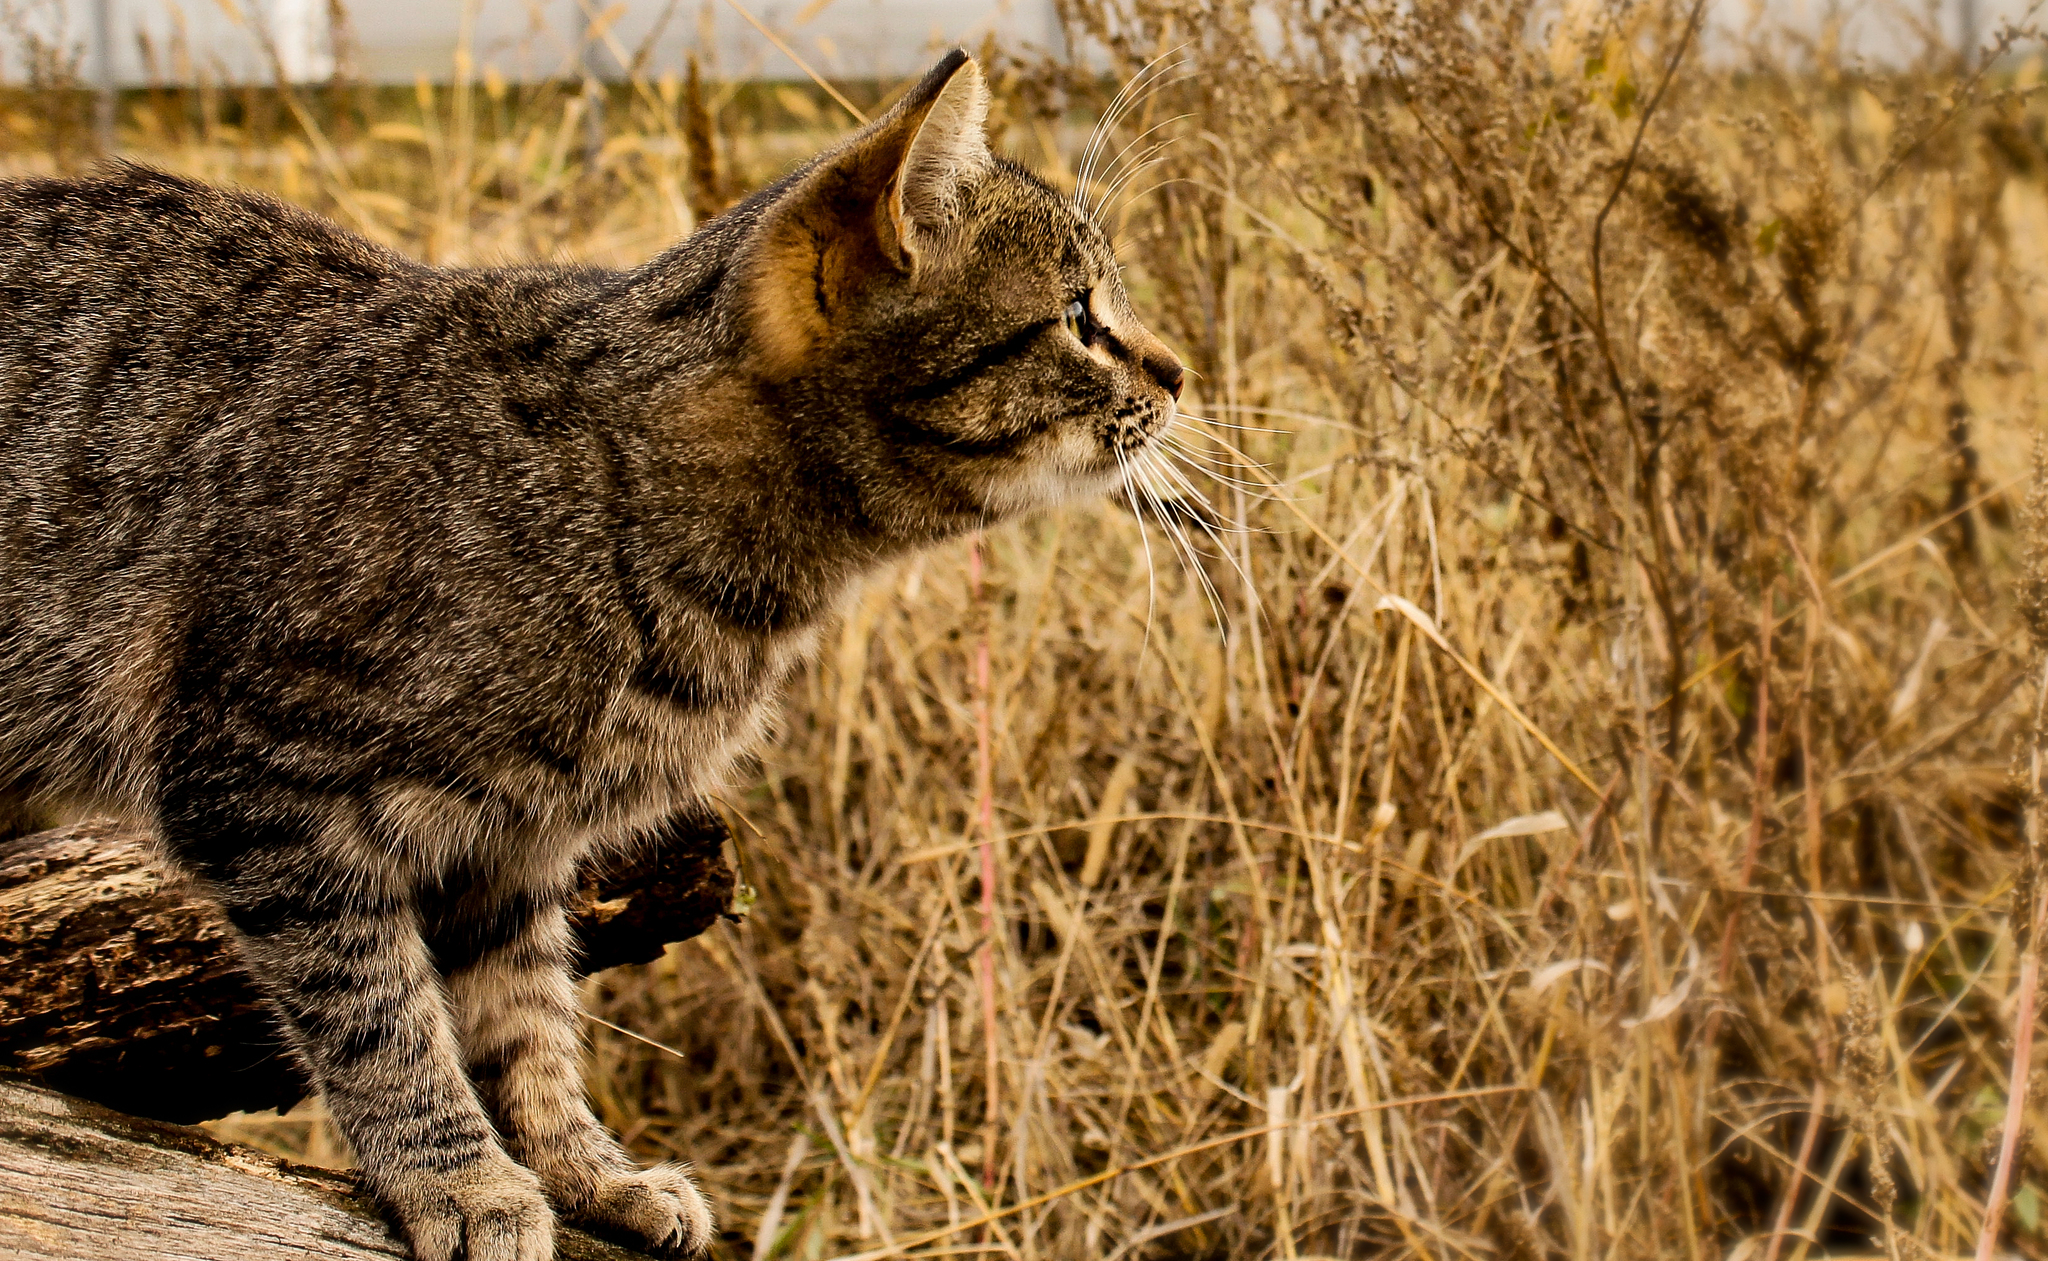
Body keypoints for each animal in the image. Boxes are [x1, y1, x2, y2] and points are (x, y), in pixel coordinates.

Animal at [0, 49, 1187, 1261]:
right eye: (1080, 317)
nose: (1178, 369)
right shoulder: (259, 785)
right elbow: (381, 1016)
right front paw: (458, 1177)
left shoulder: (508, 845)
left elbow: (525, 1020)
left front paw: (582, 1169)